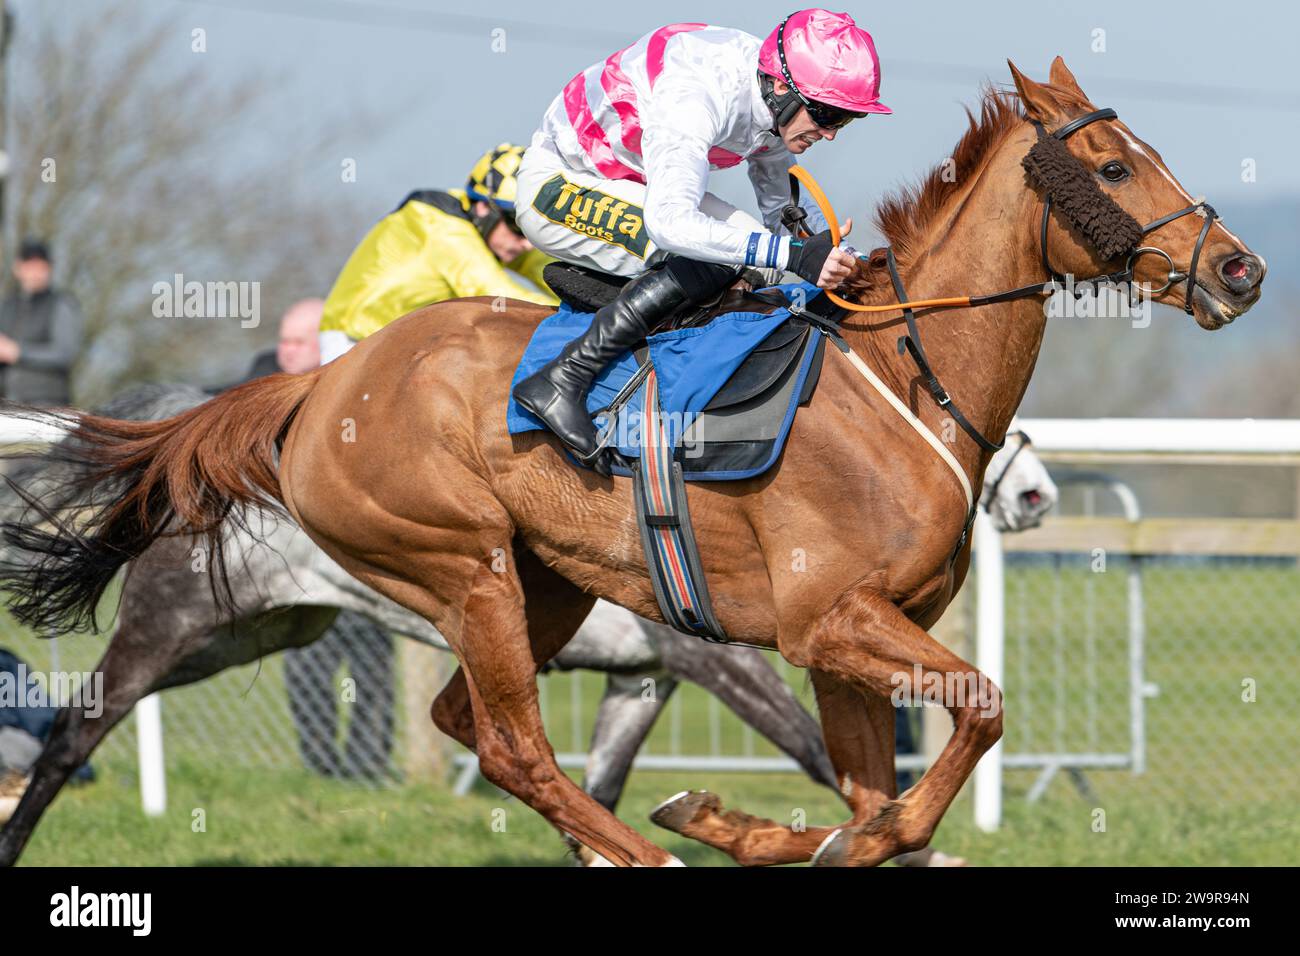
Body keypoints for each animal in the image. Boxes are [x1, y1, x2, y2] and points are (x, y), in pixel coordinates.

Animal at [0, 59, 1258, 868]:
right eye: (1111, 164)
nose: (1239, 269)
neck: (895, 390)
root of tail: (318, 386)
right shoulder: (810, 625)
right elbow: (959, 728)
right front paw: (744, 827)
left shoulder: (826, 643)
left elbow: (869, 793)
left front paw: (772, 830)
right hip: (434, 571)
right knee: (501, 742)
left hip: (515, 588)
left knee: (475, 726)